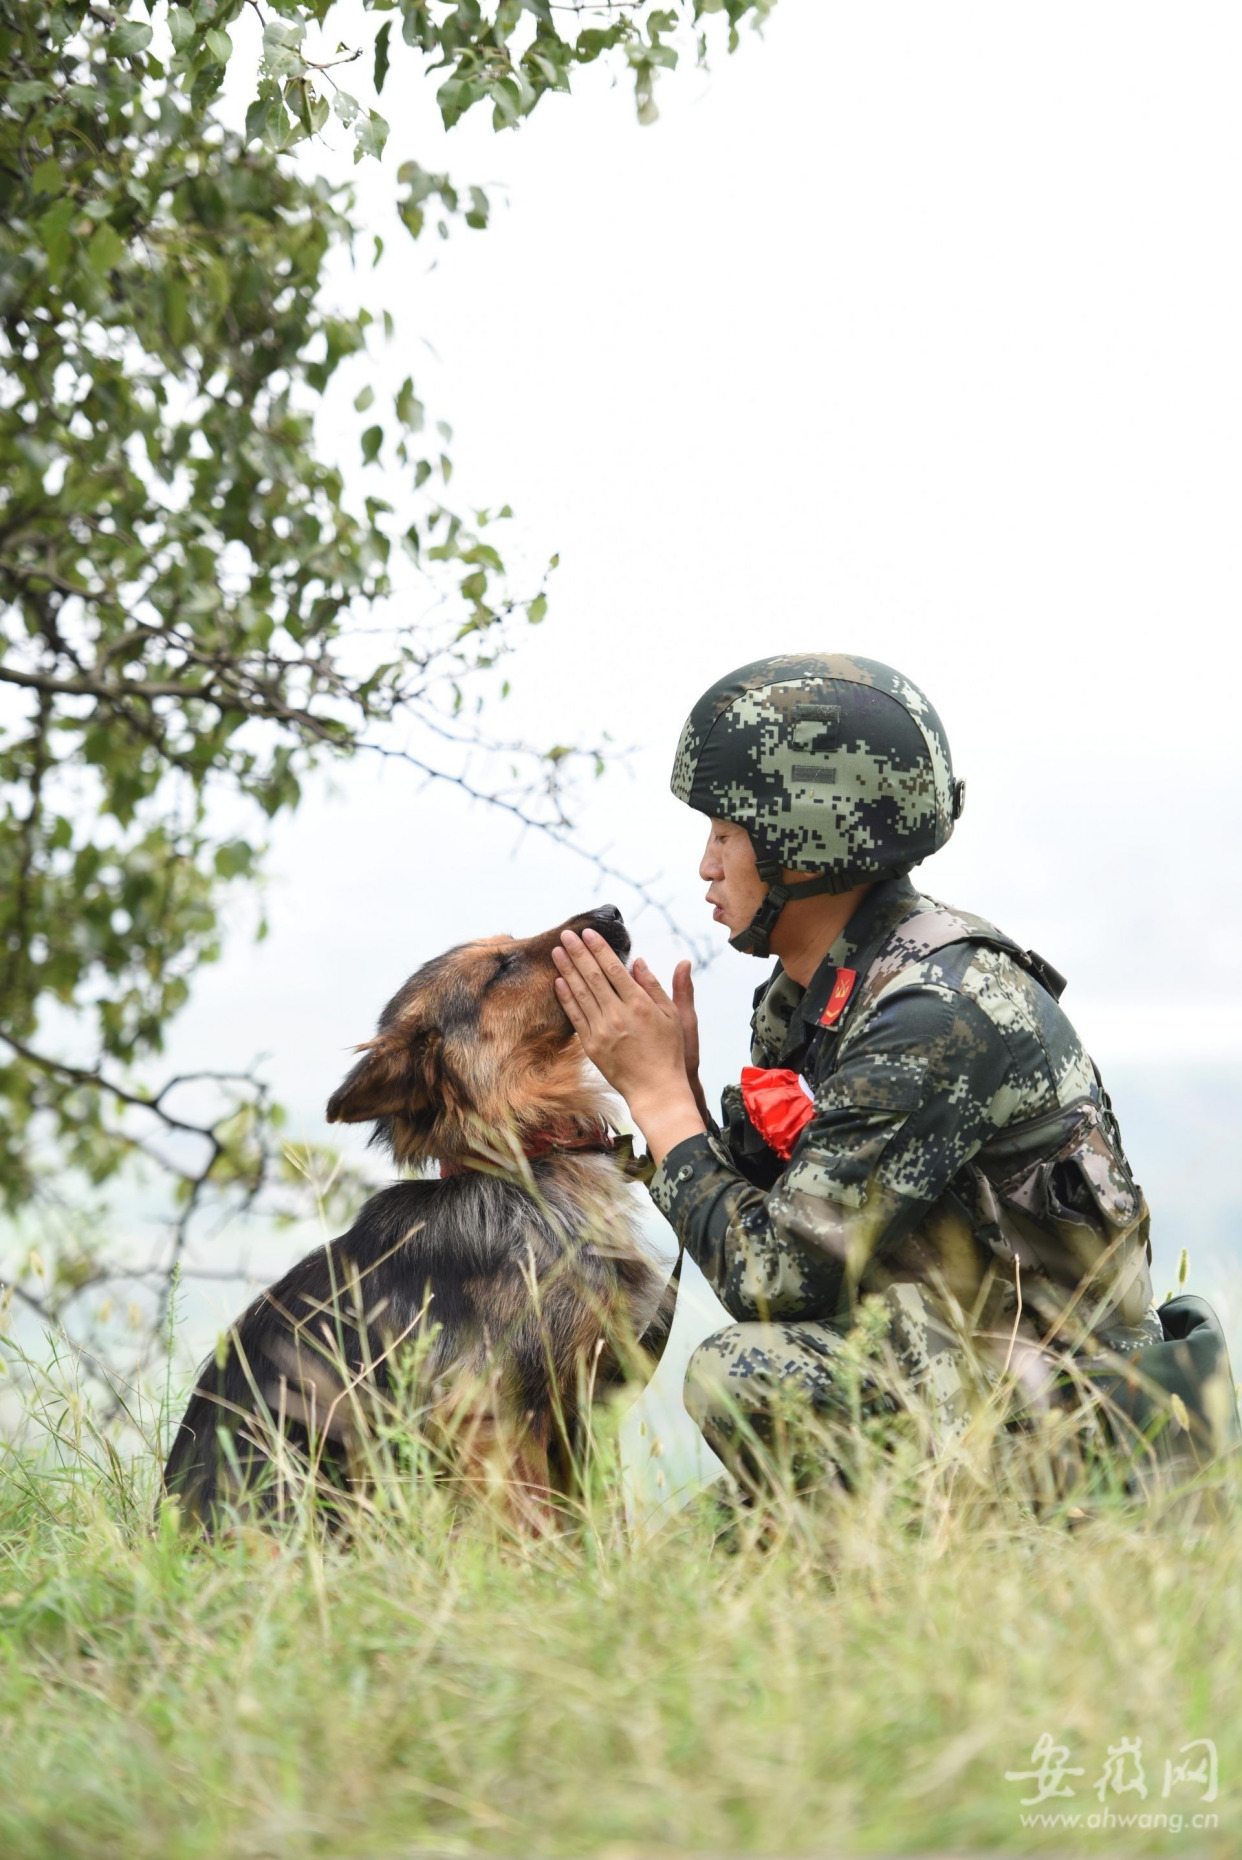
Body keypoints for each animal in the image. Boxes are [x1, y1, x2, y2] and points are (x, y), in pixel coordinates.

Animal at [162, 907, 680, 1532]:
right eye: (501, 967)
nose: (611, 914)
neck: (522, 1163)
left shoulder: (580, 1403)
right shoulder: (492, 1417)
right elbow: (535, 1525)